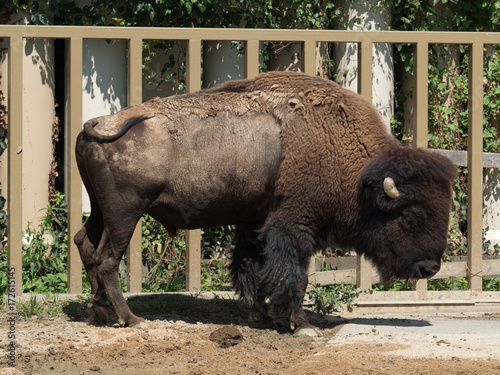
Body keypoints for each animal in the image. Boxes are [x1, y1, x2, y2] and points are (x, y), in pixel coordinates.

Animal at [75, 72, 458, 336]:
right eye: (409, 219)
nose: (429, 268)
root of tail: (96, 124)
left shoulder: (255, 223)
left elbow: (251, 268)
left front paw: (260, 316)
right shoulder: (294, 227)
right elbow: (295, 277)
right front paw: (301, 326)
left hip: (101, 211)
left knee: (85, 244)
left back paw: (98, 311)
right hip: (125, 214)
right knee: (106, 259)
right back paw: (130, 319)